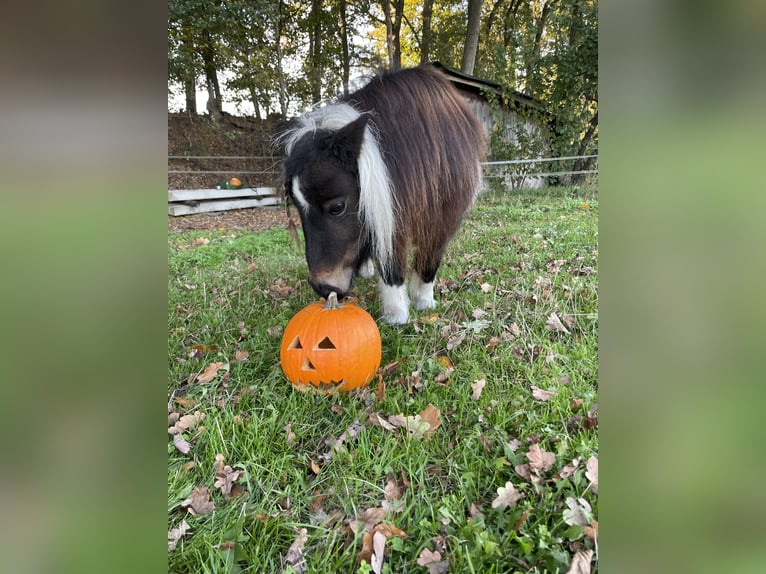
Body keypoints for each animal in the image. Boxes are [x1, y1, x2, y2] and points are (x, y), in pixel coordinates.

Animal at [280, 65, 486, 326]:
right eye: (297, 208)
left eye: (337, 207)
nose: (322, 288)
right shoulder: (388, 208)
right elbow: (389, 259)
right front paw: (396, 314)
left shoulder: (443, 216)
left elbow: (429, 260)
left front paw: (421, 302)